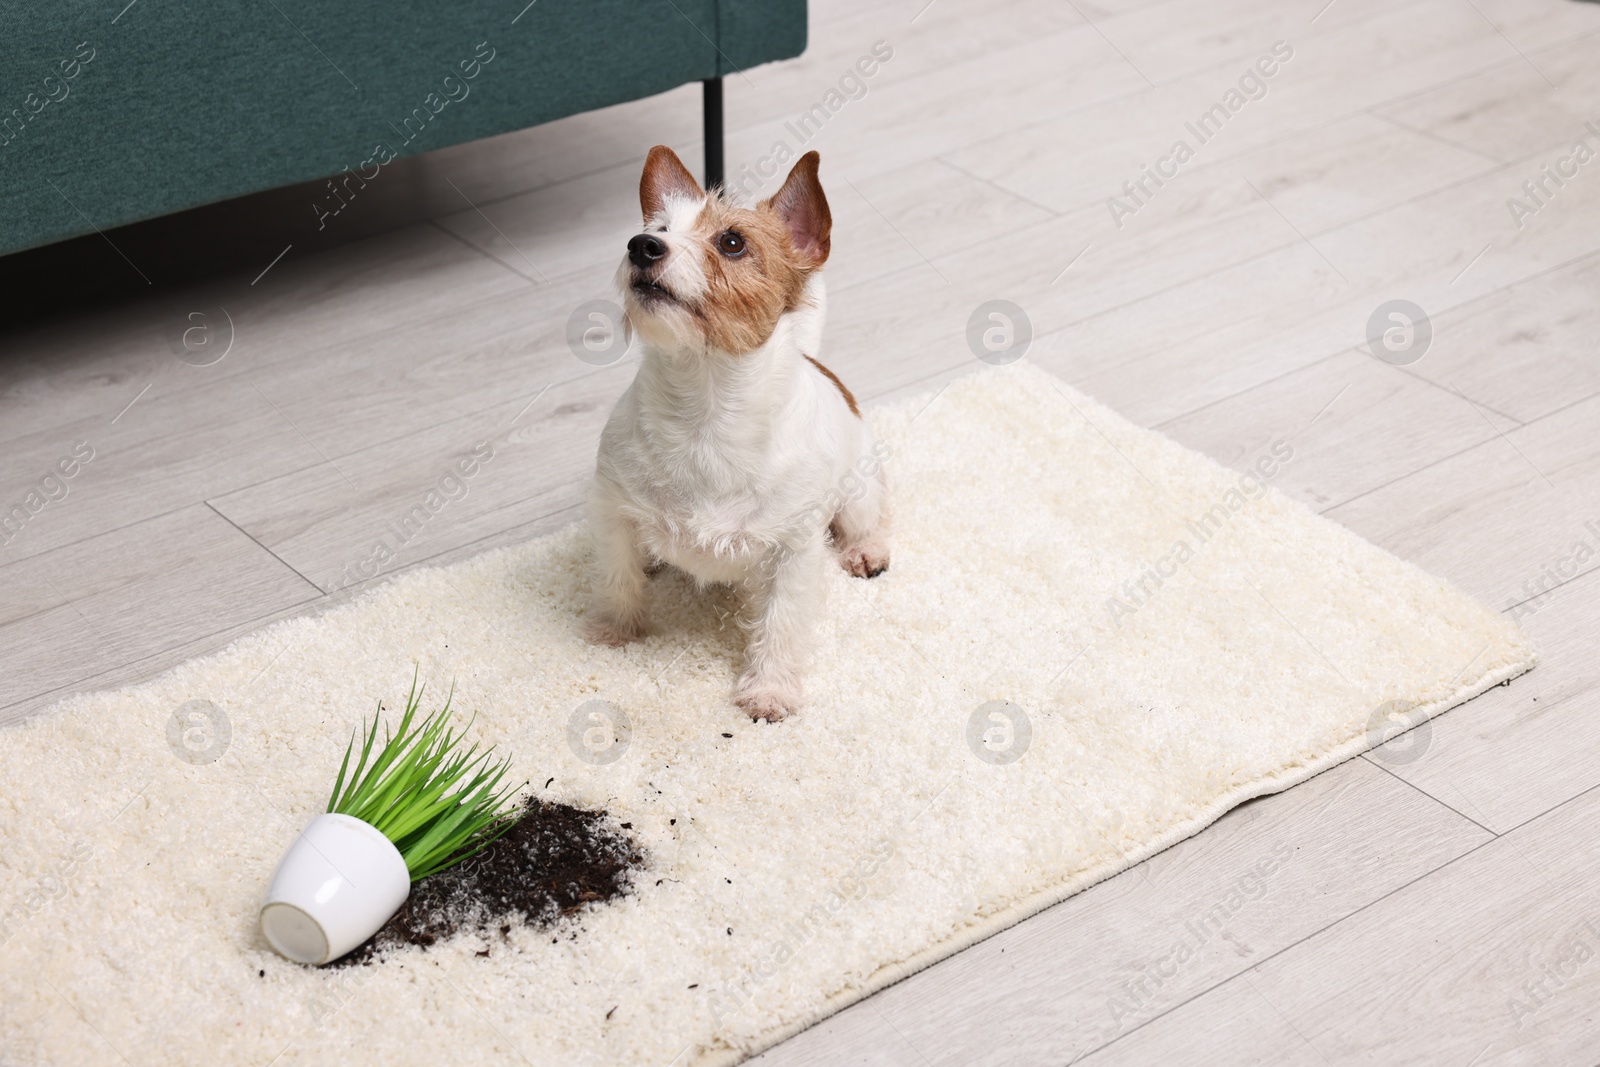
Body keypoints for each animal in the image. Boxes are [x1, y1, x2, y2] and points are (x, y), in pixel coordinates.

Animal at [585, 146, 896, 723]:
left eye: (732, 242)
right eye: (658, 228)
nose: (641, 246)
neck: (705, 411)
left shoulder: (794, 552)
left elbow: (780, 623)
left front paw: (769, 690)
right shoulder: (613, 512)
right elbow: (618, 578)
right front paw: (615, 630)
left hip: (859, 490)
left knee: (866, 519)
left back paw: (866, 550)